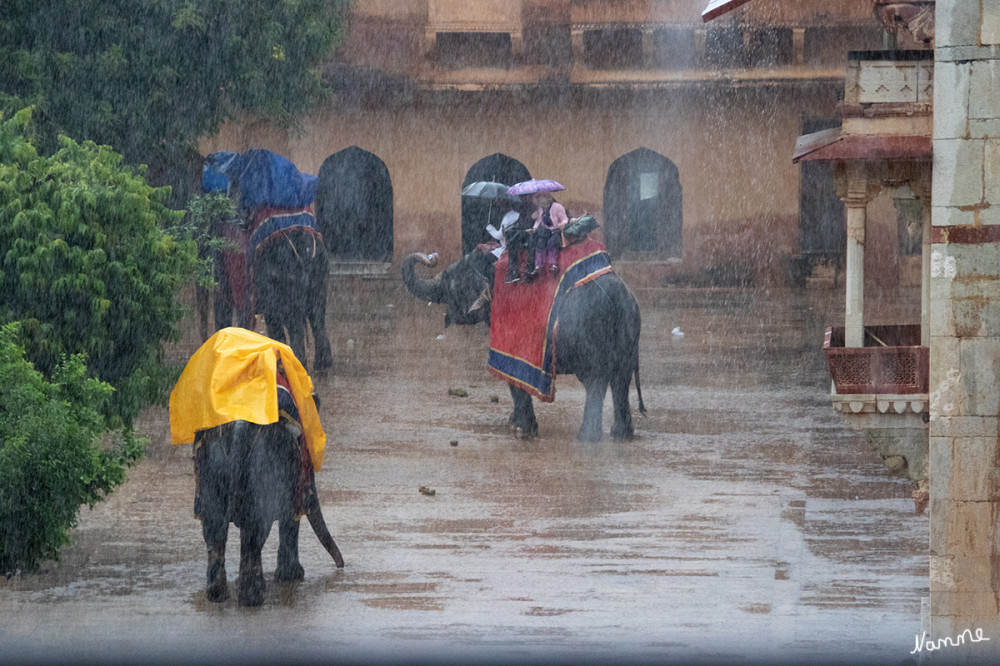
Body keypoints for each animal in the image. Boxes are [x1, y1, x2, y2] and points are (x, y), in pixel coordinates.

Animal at [194, 418, 344, 604]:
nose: (340, 566)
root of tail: (239, 429)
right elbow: (289, 516)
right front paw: (292, 577)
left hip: (212, 469)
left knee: (215, 528)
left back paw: (218, 596)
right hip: (258, 468)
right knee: (254, 531)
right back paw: (252, 599)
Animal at [400, 245, 644, 440]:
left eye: (449, 278)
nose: (432, 257)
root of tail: (621, 298)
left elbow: (512, 372)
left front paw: (522, 431)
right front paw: (513, 422)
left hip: (589, 332)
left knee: (596, 381)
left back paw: (587, 436)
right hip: (628, 333)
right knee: (620, 380)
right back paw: (621, 434)